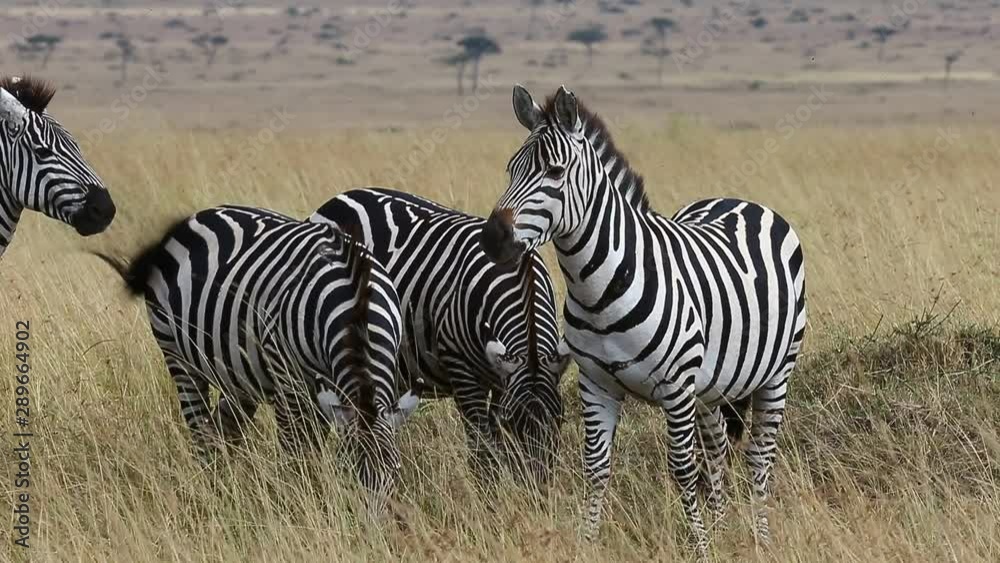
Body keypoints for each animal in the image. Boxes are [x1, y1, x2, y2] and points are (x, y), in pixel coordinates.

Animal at [96, 205, 418, 504]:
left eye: (396, 472)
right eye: (348, 471)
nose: (371, 524)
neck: (357, 307)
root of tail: (193, 219)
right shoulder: (288, 378)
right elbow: (297, 448)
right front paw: (299, 496)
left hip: (239, 374)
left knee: (222, 430)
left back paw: (224, 489)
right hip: (177, 355)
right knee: (201, 432)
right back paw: (213, 493)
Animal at [309, 188, 570, 485]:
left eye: (560, 419)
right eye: (511, 424)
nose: (537, 490)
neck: (520, 279)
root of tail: (340, 198)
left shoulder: (501, 378)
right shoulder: (461, 369)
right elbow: (483, 451)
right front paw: (488, 490)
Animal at [480, 85, 807, 555]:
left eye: (555, 172)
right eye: (510, 170)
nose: (492, 238)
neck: (598, 289)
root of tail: (741, 201)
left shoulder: (676, 387)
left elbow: (683, 469)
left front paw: (700, 548)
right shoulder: (595, 384)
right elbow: (596, 468)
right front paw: (587, 544)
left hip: (776, 374)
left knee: (758, 459)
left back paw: (759, 539)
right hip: (711, 388)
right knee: (717, 451)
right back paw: (724, 529)